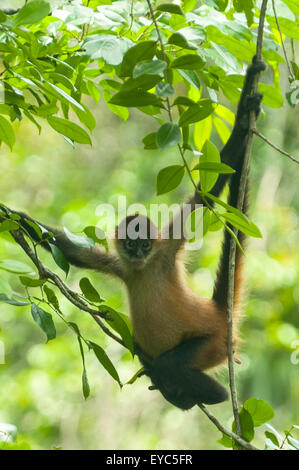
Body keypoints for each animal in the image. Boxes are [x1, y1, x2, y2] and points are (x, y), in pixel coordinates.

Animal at [1, 57, 264, 410]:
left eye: (145, 244)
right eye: (130, 244)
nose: (138, 253)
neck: (144, 269)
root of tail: (218, 314)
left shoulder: (165, 250)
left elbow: (207, 195)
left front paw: (242, 118)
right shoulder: (122, 266)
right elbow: (73, 253)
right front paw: (10, 215)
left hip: (211, 343)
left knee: (171, 364)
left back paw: (204, 393)